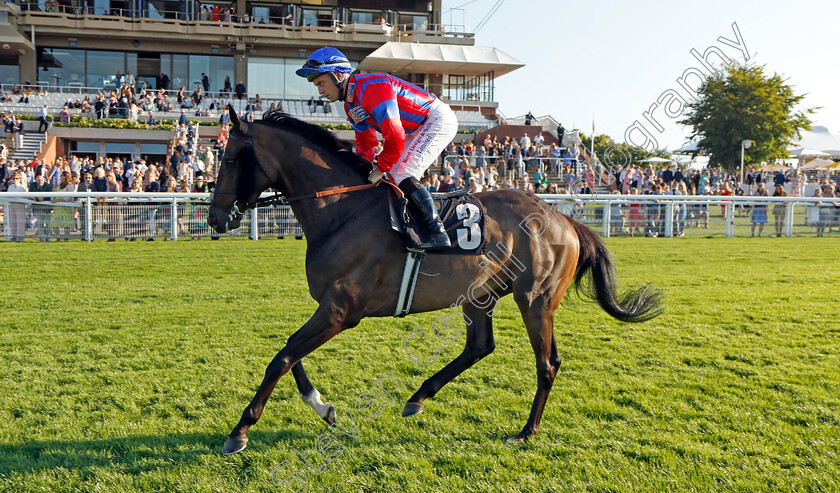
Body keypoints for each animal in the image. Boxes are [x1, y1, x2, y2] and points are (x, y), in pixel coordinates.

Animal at [205, 107, 664, 454]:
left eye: (229, 159)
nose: (214, 218)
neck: (341, 210)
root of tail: (563, 217)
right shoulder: (331, 308)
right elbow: (290, 353)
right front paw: (323, 407)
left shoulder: (340, 310)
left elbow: (281, 359)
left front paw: (239, 432)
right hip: (479, 296)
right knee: (480, 346)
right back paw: (417, 398)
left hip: (535, 299)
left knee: (547, 363)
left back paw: (525, 431)